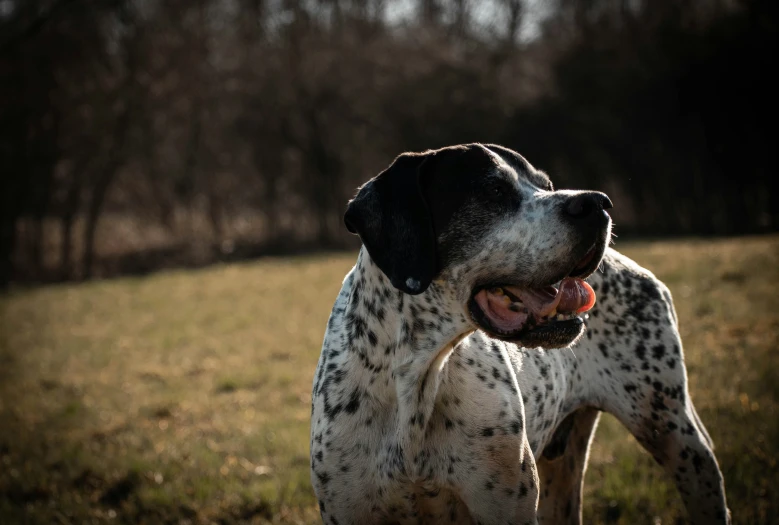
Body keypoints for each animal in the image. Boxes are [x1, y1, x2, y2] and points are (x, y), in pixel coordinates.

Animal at [312, 144, 732, 524]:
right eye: (494, 191)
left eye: (546, 185)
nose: (598, 203)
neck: (416, 374)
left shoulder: (505, 506)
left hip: (680, 442)